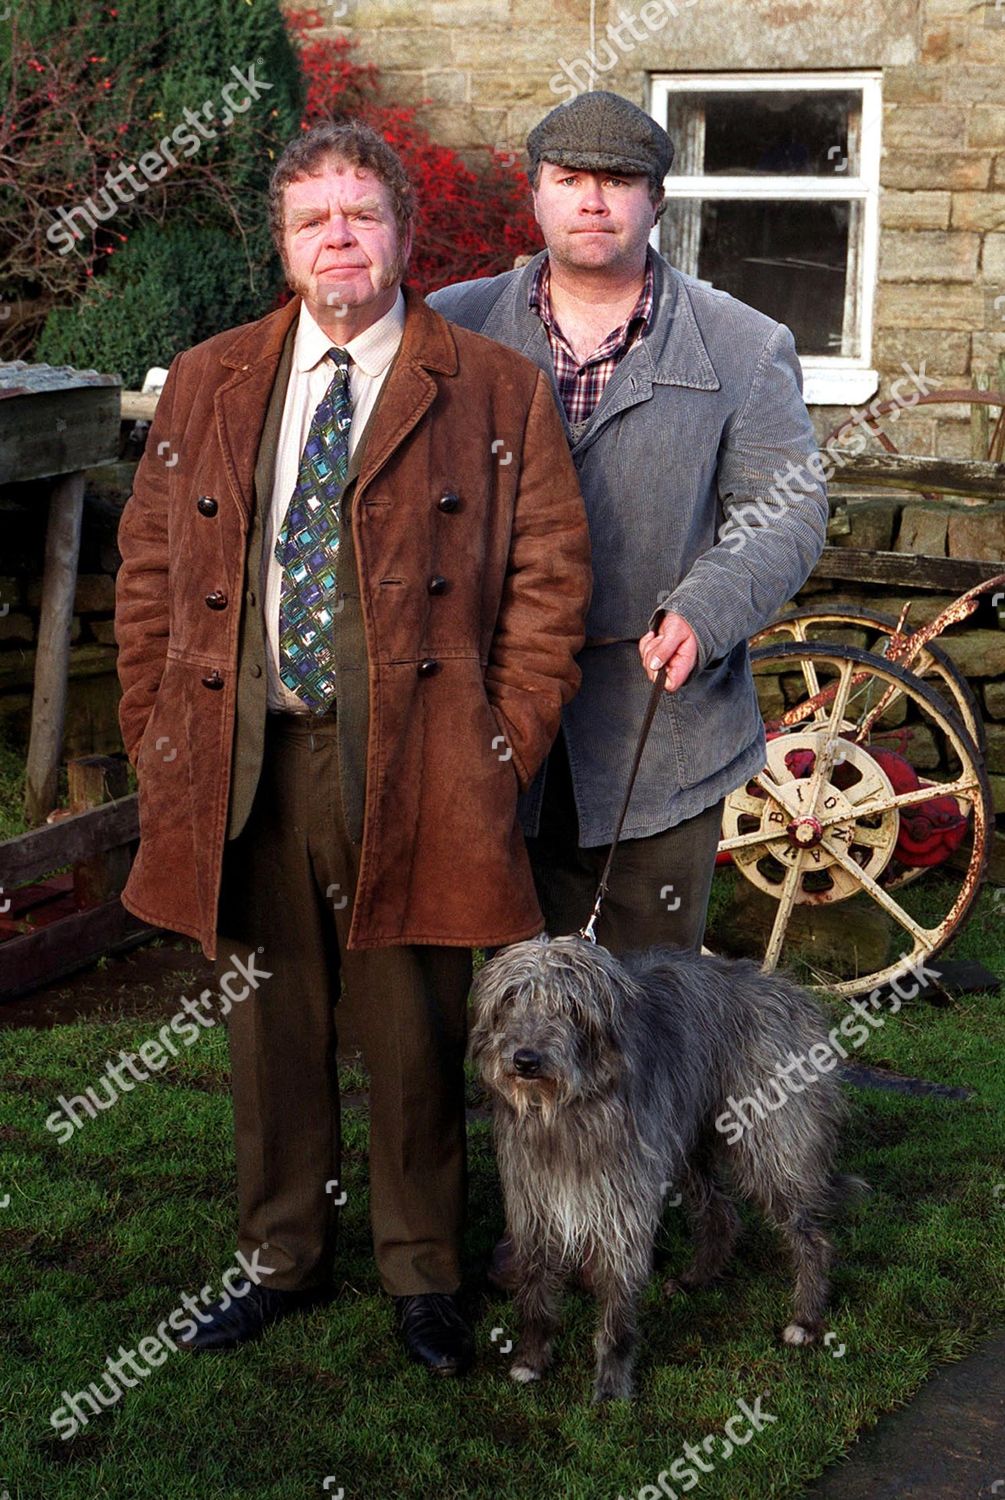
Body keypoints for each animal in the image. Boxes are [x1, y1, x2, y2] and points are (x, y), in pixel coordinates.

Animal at [471, 936, 852, 1404]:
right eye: (511, 998)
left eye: (570, 1006)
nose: (525, 1060)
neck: (566, 1110)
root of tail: (794, 994)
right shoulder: (535, 1204)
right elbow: (536, 1289)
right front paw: (531, 1358)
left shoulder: (623, 1208)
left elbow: (617, 1309)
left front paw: (611, 1385)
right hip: (691, 1144)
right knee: (721, 1215)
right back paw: (695, 1280)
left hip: (771, 1148)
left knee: (812, 1238)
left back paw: (806, 1319)